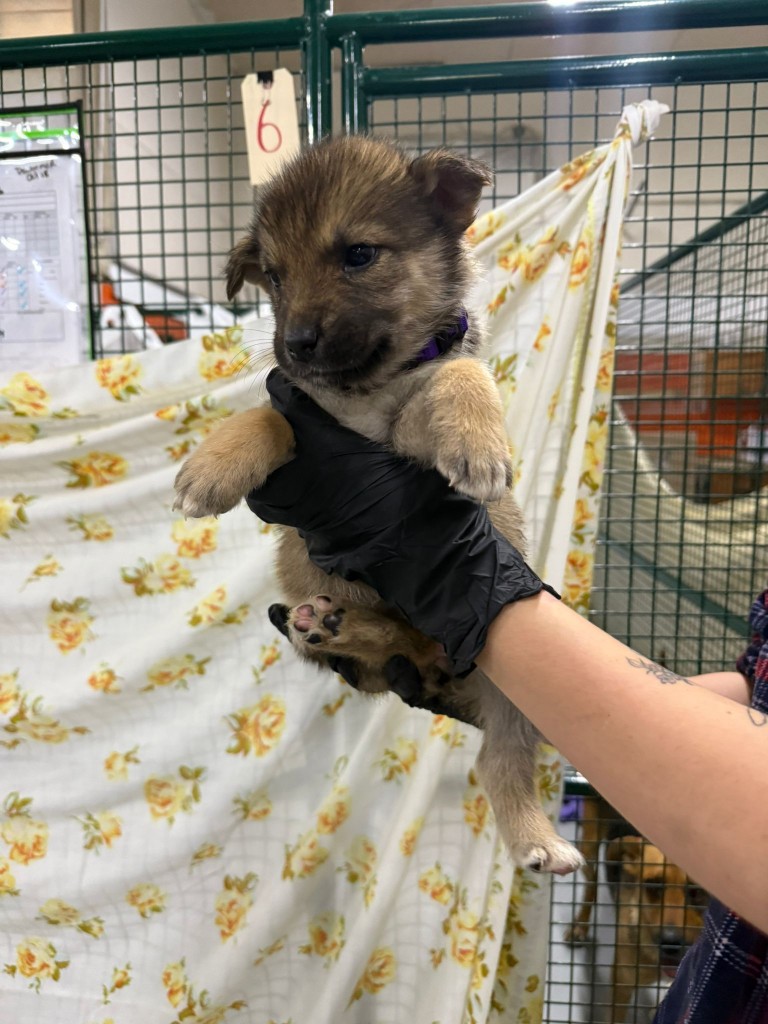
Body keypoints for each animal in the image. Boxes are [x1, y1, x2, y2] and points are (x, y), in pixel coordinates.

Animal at [173, 134, 583, 875]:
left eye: (359, 255)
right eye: (273, 277)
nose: (295, 343)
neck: (362, 391)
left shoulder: (410, 434)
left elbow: (459, 370)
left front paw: (478, 441)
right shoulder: (308, 419)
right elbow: (271, 417)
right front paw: (213, 464)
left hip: (519, 690)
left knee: (499, 760)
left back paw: (534, 836)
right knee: (389, 650)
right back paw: (333, 626)